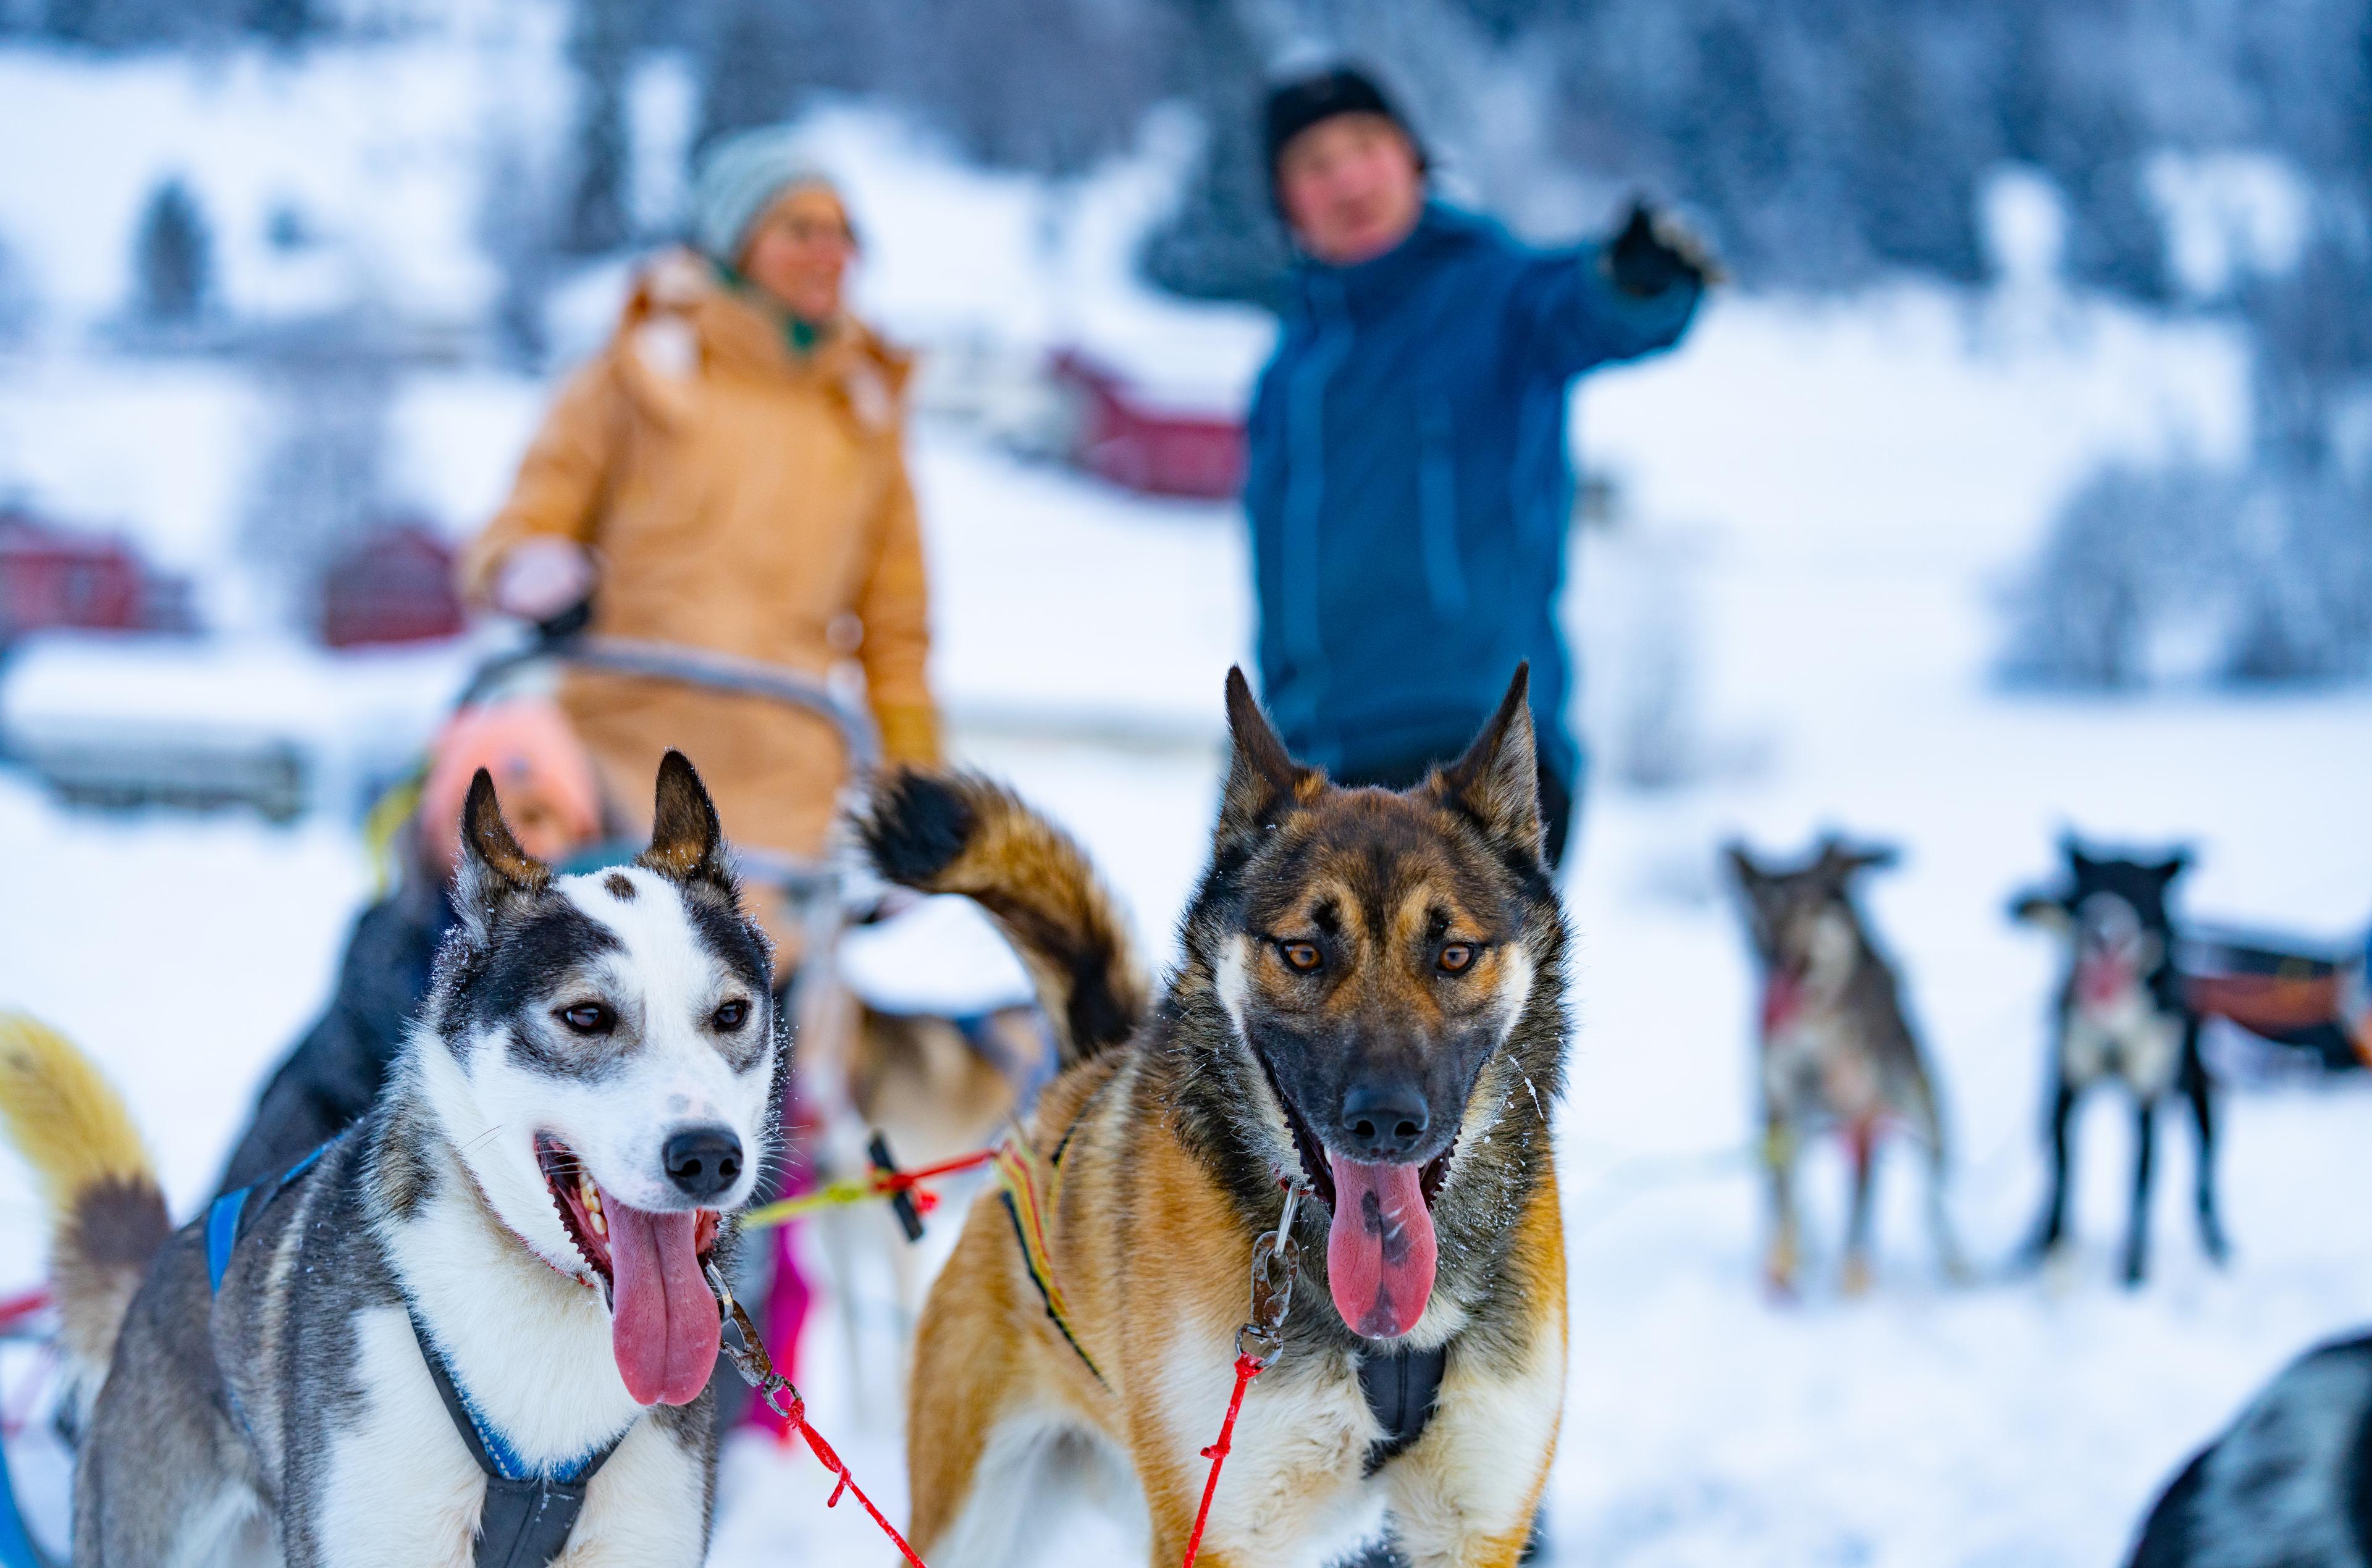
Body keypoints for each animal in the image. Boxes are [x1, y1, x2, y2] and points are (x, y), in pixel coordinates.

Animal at [859, 669, 1575, 1566]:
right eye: (1303, 951)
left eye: (1453, 954)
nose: (1385, 1121)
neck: (1388, 1340)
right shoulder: (1221, 1528)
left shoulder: (1473, 1524)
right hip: (975, 1523)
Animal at [2011, 839, 2229, 1290]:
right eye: (2087, 890)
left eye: (2139, 891)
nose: (2103, 928)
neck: (2112, 1027)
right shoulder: (2065, 1097)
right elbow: (2062, 1184)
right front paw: (2052, 1262)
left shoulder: (2146, 1104)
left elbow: (2140, 1188)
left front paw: (2133, 1274)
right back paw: (2028, 1244)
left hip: (2199, 1098)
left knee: (2204, 1177)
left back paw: (2217, 1246)